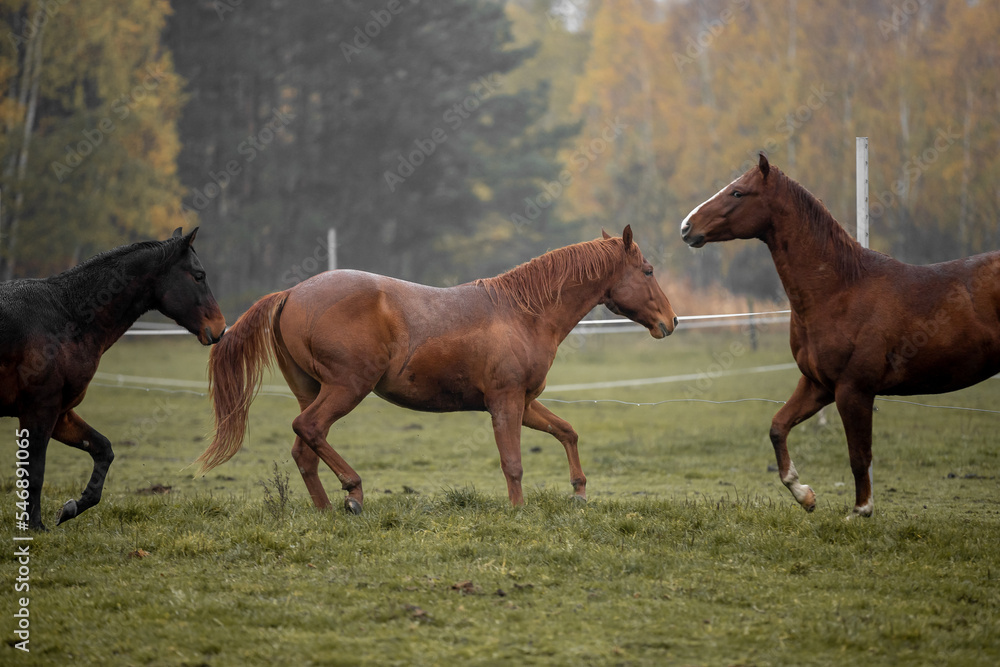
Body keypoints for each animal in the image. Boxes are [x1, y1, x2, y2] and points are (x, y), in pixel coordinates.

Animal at [1, 228, 226, 529]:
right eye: (199, 275)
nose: (220, 328)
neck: (67, 316)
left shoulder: (60, 414)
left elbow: (103, 450)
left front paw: (73, 507)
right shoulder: (38, 410)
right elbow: (34, 472)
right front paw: (35, 528)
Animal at [197, 225, 677, 513]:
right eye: (648, 270)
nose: (671, 321)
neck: (523, 312)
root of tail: (291, 293)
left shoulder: (524, 402)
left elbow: (567, 431)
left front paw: (578, 491)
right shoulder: (504, 401)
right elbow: (513, 463)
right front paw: (518, 511)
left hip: (312, 389)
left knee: (303, 449)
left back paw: (327, 510)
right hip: (347, 388)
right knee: (309, 430)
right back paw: (353, 491)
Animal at [680, 153, 1000, 518]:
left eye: (737, 192)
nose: (687, 227)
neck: (840, 289)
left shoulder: (853, 391)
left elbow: (859, 457)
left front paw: (860, 511)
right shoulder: (818, 385)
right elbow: (778, 427)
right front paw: (804, 495)